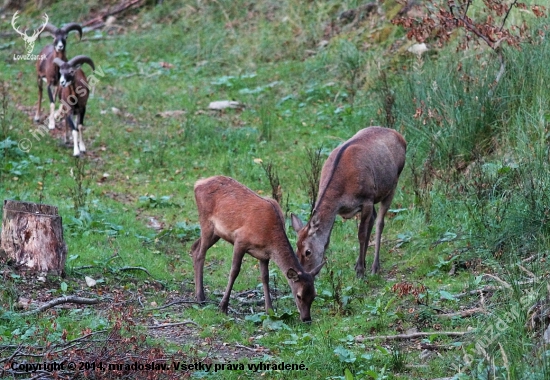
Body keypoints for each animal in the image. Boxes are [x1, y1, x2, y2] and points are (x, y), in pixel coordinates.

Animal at [193, 175, 326, 320]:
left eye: (314, 295)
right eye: (299, 296)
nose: (306, 319)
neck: (269, 236)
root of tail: (198, 183)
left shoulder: (264, 255)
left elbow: (265, 277)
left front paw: (270, 310)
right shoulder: (240, 240)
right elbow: (234, 271)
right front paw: (223, 307)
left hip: (216, 233)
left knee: (194, 247)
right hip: (206, 222)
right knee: (200, 254)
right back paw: (200, 297)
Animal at [294, 126, 406, 278]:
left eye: (308, 252)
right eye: (296, 249)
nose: (303, 275)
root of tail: (400, 136)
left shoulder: (366, 198)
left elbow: (361, 235)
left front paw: (360, 272)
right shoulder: (338, 210)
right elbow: (327, 240)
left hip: (392, 185)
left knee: (380, 222)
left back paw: (374, 267)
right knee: (373, 218)